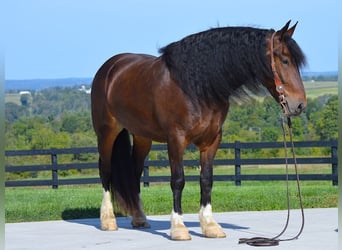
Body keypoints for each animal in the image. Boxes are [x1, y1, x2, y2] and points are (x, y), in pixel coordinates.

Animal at [91, 21, 308, 240]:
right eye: (285, 60)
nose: (299, 105)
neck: (197, 86)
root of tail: (110, 68)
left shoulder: (211, 140)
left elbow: (206, 180)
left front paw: (210, 225)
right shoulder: (176, 139)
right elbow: (178, 180)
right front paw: (179, 228)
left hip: (142, 137)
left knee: (134, 173)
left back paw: (139, 219)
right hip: (107, 132)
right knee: (106, 171)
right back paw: (108, 220)